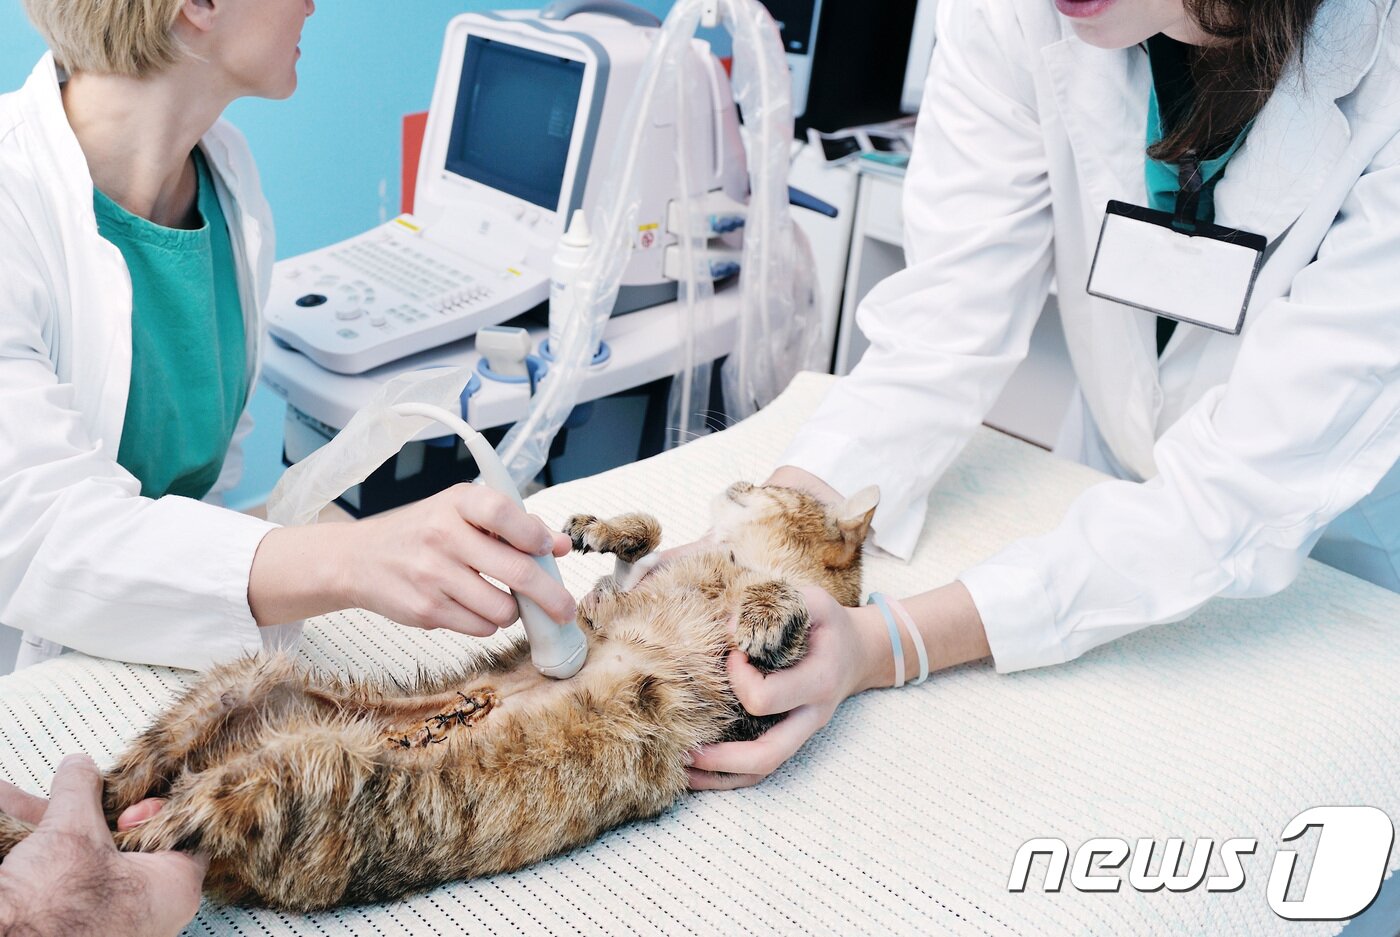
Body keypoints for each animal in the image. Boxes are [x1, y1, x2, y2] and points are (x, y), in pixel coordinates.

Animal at [0, 480, 879, 911]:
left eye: (764, 486)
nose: (743, 474)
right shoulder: (613, 595)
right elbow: (648, 541)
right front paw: (604, 525)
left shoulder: (741, 707)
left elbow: (791, 616)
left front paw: (767, 607)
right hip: (239, 685)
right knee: (126, 783)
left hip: (293, 774)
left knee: (148, 829)